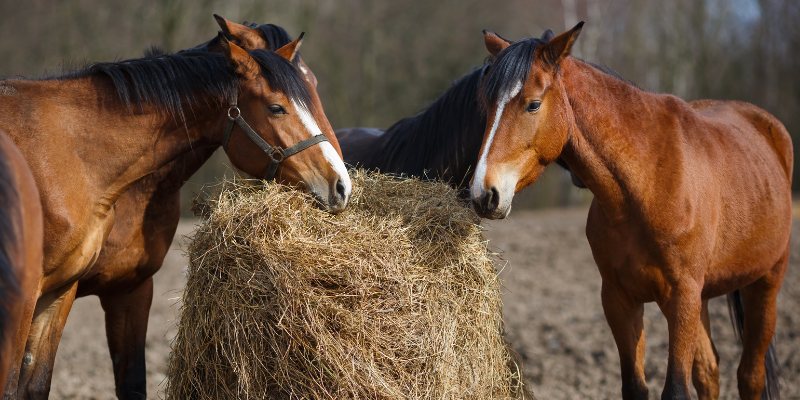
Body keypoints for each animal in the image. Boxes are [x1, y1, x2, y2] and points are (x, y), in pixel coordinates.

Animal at [0, 16, 350, 400]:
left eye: (312, 84)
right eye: (276, 107)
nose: (340, 183)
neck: (72, 152)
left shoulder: (104, 290)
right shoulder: (26, 300)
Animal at [472, 22, 792, 400]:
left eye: (532, 104)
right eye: (486, 104)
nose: (484, 194)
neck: (646, 183)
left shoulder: (681, 299)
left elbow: (676, 389)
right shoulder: (620, 300)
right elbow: (636, 387)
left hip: (765, 282)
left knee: (750, 375)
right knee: (709, 372)